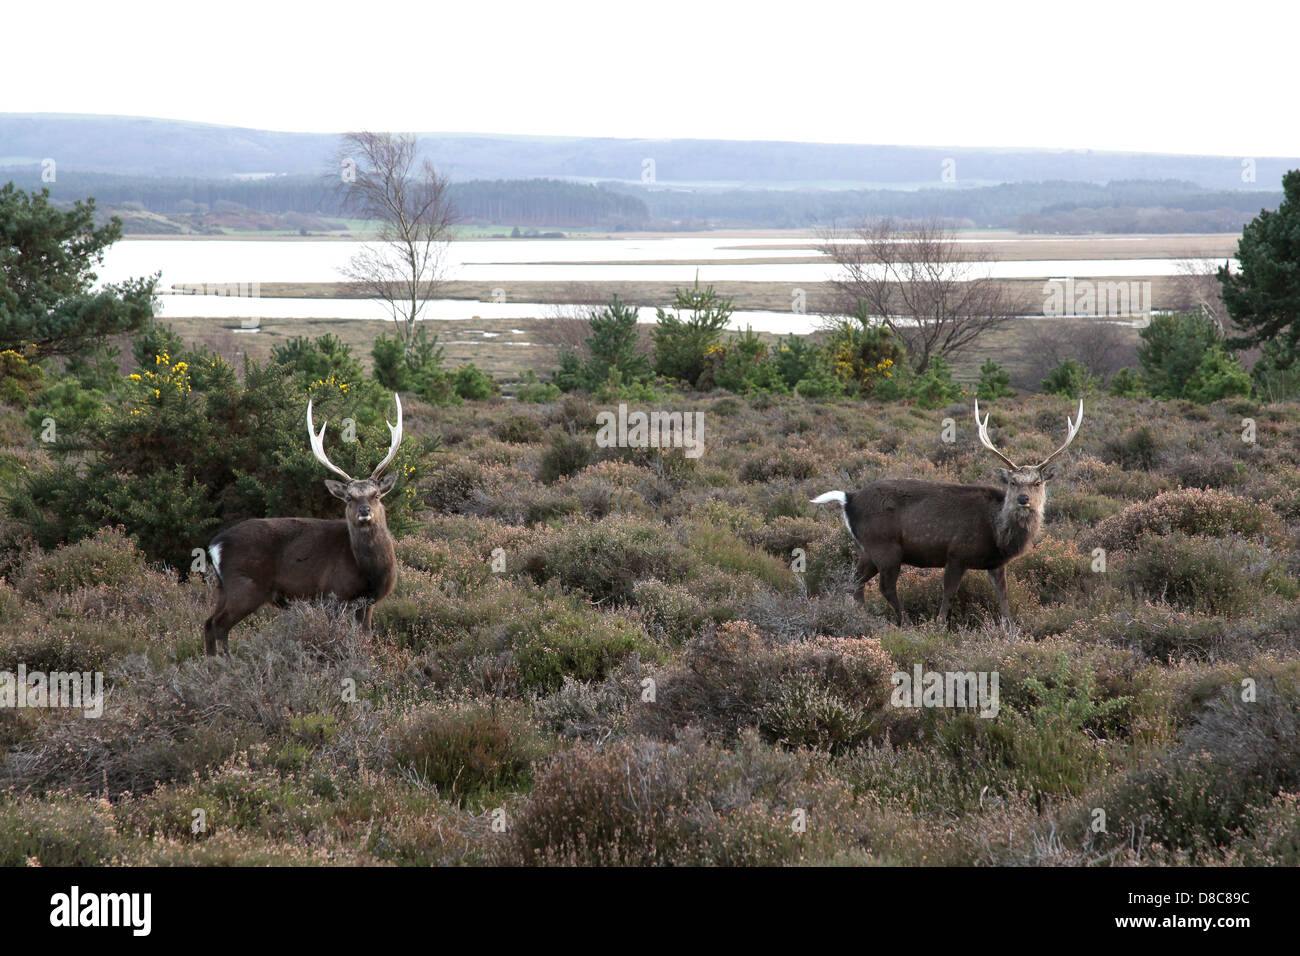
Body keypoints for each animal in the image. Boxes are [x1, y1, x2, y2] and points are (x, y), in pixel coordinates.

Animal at [201, 394, 404, 656]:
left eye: (376, 495)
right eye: (349, 497)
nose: (364, 511)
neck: (370, 571)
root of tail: (215, 545)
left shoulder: (367, 602)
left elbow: (366, 637)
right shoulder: (332, 595)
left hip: (223, 587)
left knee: (208, 623)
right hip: (244, 586)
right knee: (219, 625)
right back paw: (226, 662)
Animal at [811, 399, 1082, 629]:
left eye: (1037, 482)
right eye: (1013, 482)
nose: (1023, 499)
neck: (997, 533)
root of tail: (849, 498)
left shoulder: (996, 563)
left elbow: (1002, 596)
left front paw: (1010, 628)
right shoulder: (956, 552)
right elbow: (948, 593)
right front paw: (940, 625)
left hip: (867, 549)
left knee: (856, 581)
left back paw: (862, 616)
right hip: (885, 546)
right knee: (885, 587)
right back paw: (905, 622)